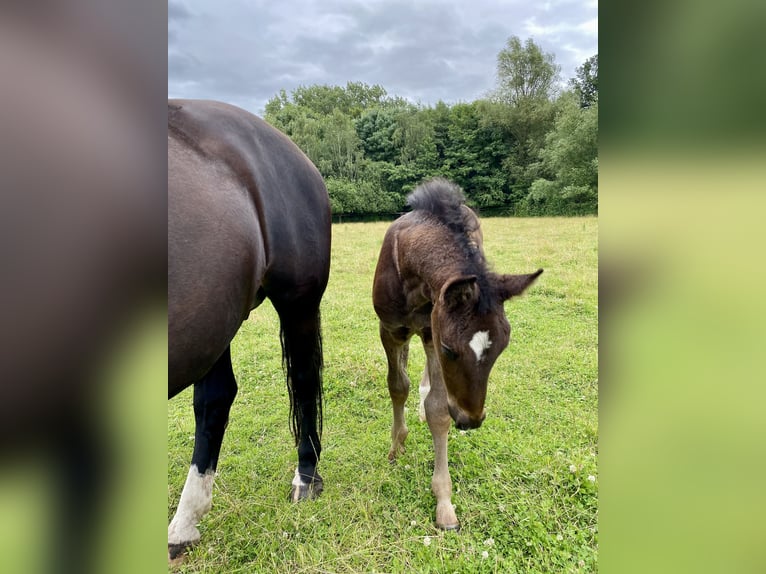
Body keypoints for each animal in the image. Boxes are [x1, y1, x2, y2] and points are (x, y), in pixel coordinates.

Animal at [168, 101, 330, 560]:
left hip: (296, 303)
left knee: (303, 382)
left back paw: (306, 477)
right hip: (210, 323)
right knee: (216, 400)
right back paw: (184, 525)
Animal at [374, 179, 544, 532]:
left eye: (502, 348)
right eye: (451, 350)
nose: (470, 420)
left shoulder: (431, 331)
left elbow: (438, 410)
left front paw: (444, 501)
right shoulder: (392, 330)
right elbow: (397, 386)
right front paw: (396, 446)